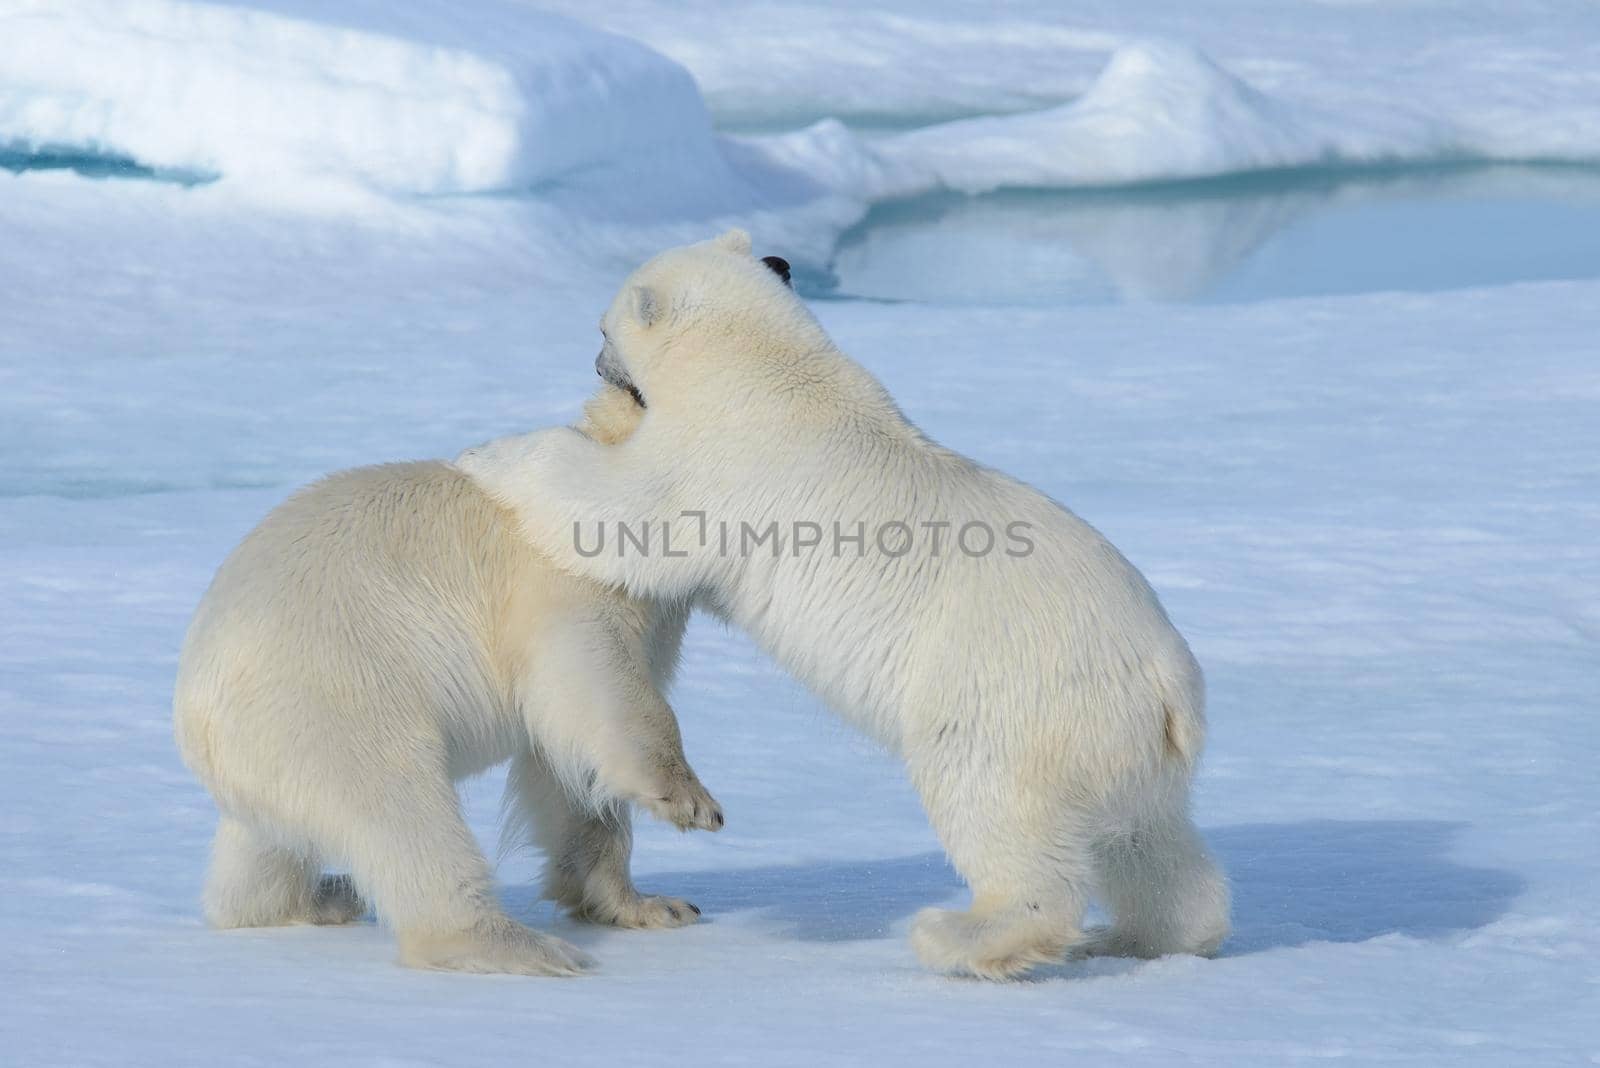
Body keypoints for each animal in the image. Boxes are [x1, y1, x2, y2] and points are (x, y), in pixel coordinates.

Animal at [175, 385, 720, 978]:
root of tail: (195, 713)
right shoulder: (566, 581)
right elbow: (595, 685)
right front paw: (692, 802)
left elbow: (569, 765)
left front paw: (653, 905)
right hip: (331, 696)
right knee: (402, 809)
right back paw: (520, 946)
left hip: (264, 759)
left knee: (261, 849)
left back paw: (323, 896)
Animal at [457, 230, 1228, 978]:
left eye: (603, 327)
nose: (597, 363)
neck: (769, 368)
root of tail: (1168, 682)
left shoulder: (714, 461)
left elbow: (617, 512)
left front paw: (486, 453)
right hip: (1126, 746)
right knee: (1149, 843)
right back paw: (1148, 936)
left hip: (1012, 702)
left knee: (996, 810)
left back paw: (963, 936)